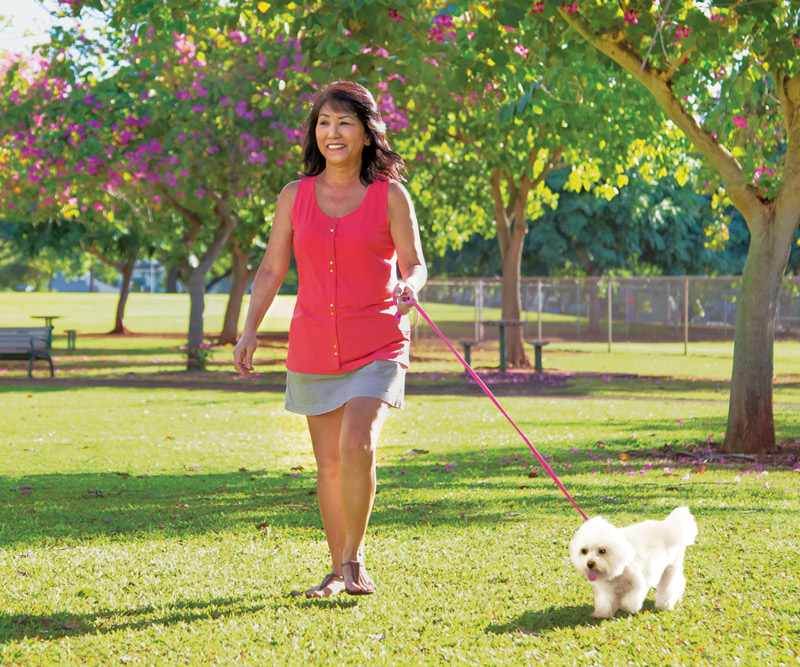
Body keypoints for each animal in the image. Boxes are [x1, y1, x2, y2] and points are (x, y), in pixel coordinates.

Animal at [564, 506, 696, 620]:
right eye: (584, 551)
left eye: (602, 551)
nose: (590, 563)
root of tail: (669, 527)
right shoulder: (606, 589)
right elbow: (605, 602)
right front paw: (602, 613)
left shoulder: (638, 582)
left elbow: (630, 600)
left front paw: (625, 607)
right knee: (680, 581)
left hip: (669, 568)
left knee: (669, 586)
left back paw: (665, 604)